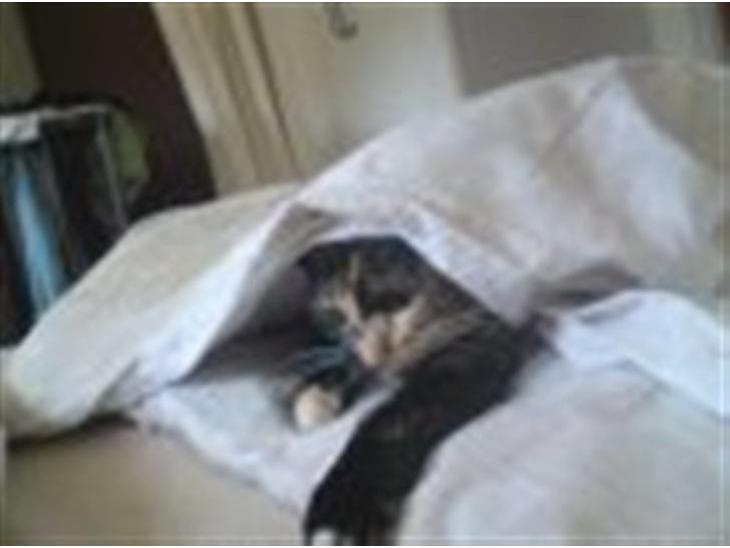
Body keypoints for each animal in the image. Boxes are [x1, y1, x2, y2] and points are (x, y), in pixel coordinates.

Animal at [287, 236, 541, 544]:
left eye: (392, 300)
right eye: (335, 316)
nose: (377, 359)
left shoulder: (483, 341)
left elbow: (395, 420)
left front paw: (342, 513)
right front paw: (316, 394)